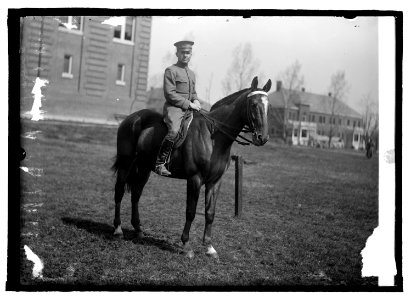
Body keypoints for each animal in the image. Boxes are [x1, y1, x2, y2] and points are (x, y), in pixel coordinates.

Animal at [112, 76, 274, 256]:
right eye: (253, 104)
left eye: (268, 107)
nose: (262, 138)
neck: (213, 136)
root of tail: (132, 118)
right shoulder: (195, 179)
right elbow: (190, 211)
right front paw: (186, 245)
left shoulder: (215, 182)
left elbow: (210, 213)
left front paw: (209, 247)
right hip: (126, 164)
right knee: (119, 192)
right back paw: (118, 230)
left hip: (144, 168)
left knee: (136, 194)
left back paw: (139, 230)